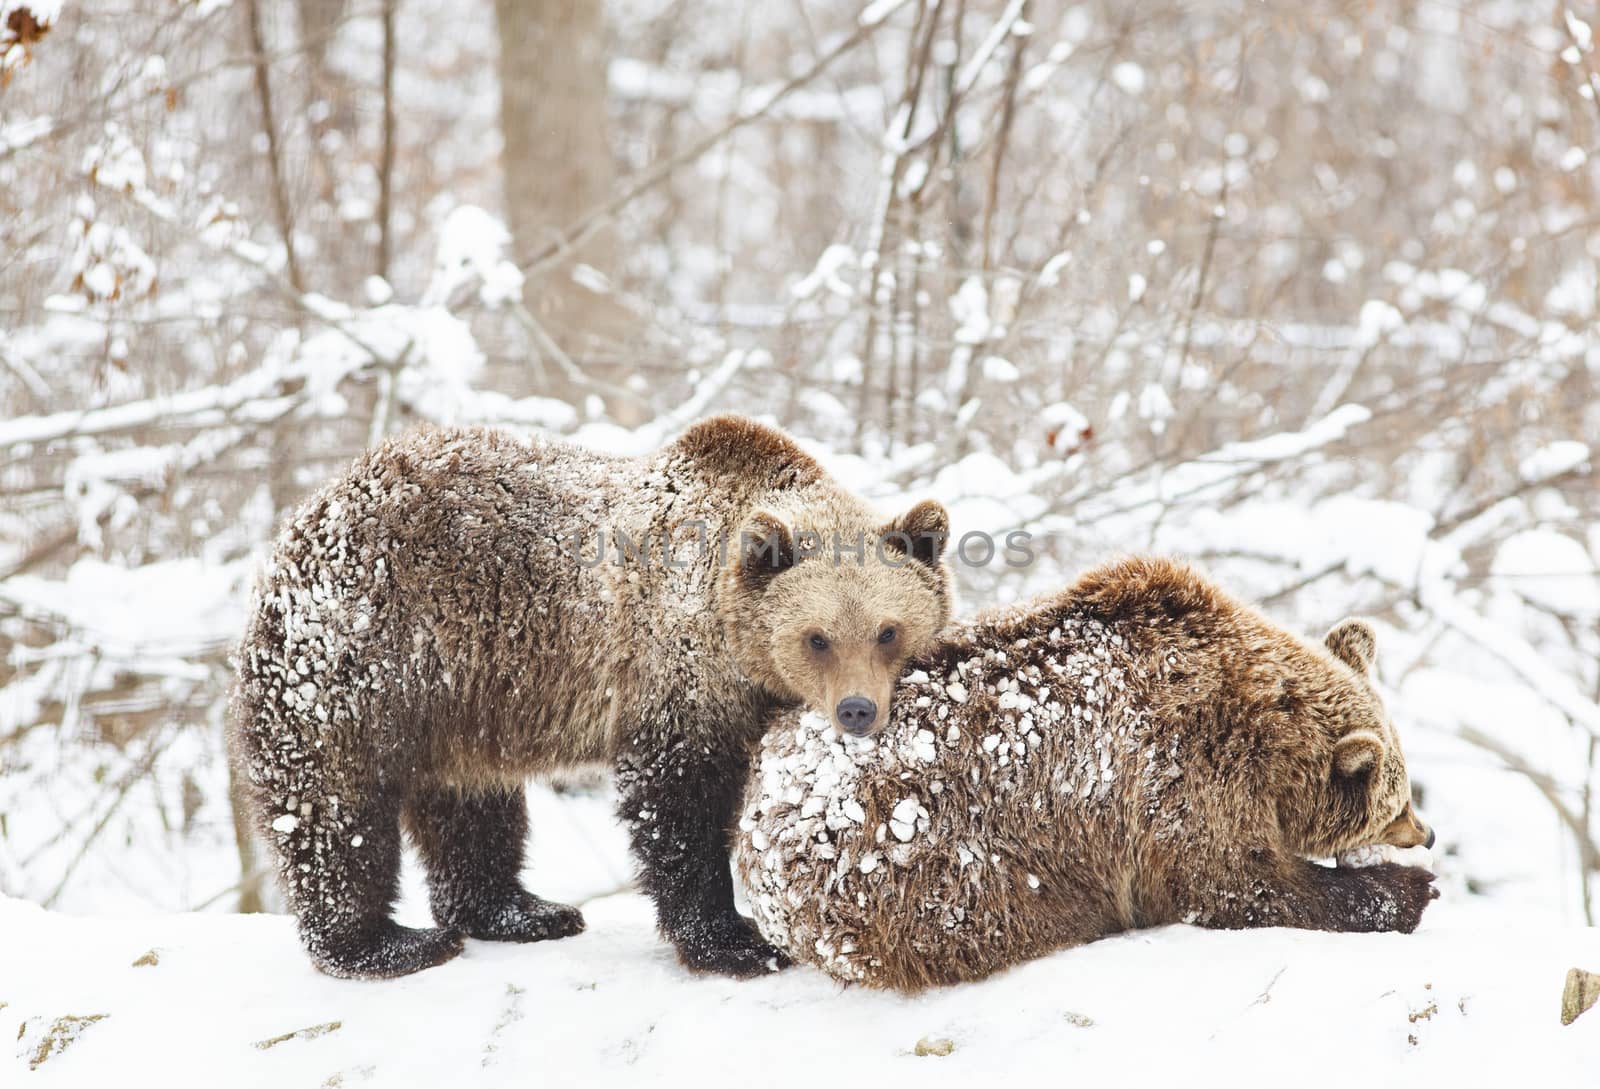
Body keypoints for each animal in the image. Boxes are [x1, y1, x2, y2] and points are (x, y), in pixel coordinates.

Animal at [225, 412, 947, 978]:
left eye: (887, 630)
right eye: (817, 637)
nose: (857, 709)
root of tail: (304, 518)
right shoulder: (673, 676)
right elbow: (676, 806)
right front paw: (736, 940)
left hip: (461, 697)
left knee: (471, 804)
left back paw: (523, 910)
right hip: (358, 660)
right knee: (332, 805)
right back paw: (385, 943)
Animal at [736, 556, 1440, 991]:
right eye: (1397, 800)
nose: (1426, 832)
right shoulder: (1176, 780)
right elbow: (1239, 886)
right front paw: (1411, 888)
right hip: (929, 863)